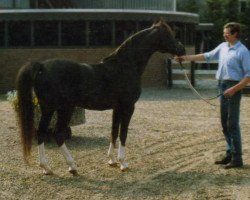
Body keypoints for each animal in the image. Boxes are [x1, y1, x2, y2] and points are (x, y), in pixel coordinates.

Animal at [15, 19, 184, 175]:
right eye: (169, 35)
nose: (181, 49)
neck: (124, 66)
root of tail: (42, 66)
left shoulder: (117, 108)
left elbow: (114, 131)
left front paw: (112, 160)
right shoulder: (128, 106)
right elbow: (123, 133)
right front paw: (123, 163)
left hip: (49, 109)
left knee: (42, 133)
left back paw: (50, 168)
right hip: (61, 109)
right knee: (56, 134)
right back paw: (68, 166)